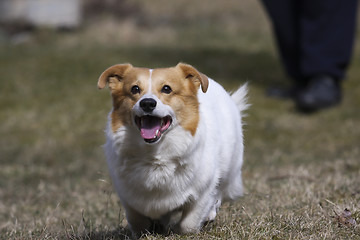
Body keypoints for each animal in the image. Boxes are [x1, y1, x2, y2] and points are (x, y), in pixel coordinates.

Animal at [97, 62, 248, 236]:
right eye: (134, 89)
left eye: (166, 89)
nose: (147, 103)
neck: (154, 153)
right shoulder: (128, 196)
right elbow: (137, 221)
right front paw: (150, 229)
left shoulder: (203, 191)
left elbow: (189, 224)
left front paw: (181, 230)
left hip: (230, 168)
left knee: (219, 192)